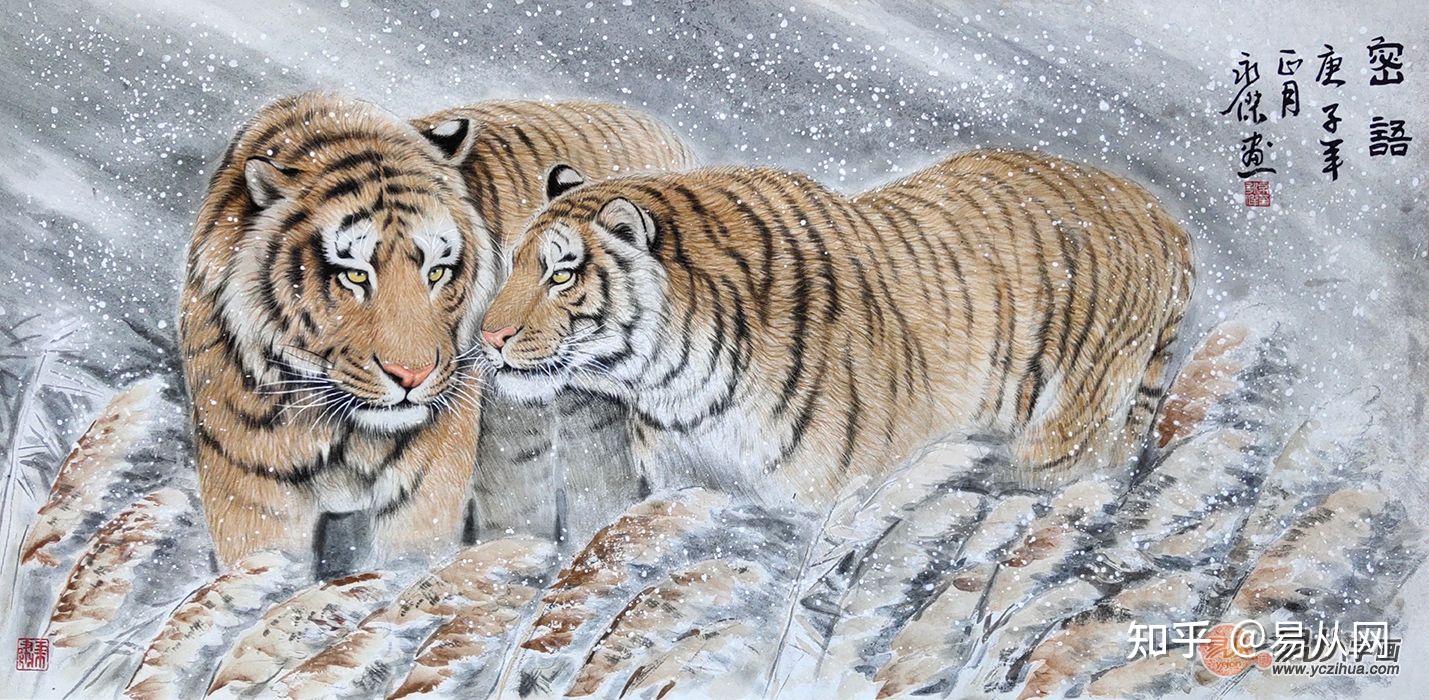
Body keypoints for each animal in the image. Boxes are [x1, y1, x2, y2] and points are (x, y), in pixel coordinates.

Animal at [473, 150, 1194, 506]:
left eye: (561, 273)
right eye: (513, 265)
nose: (488, 338)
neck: (680, 391)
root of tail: (1163, 215)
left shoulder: (820, 502)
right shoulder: (677, 484)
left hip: (1063, 435)